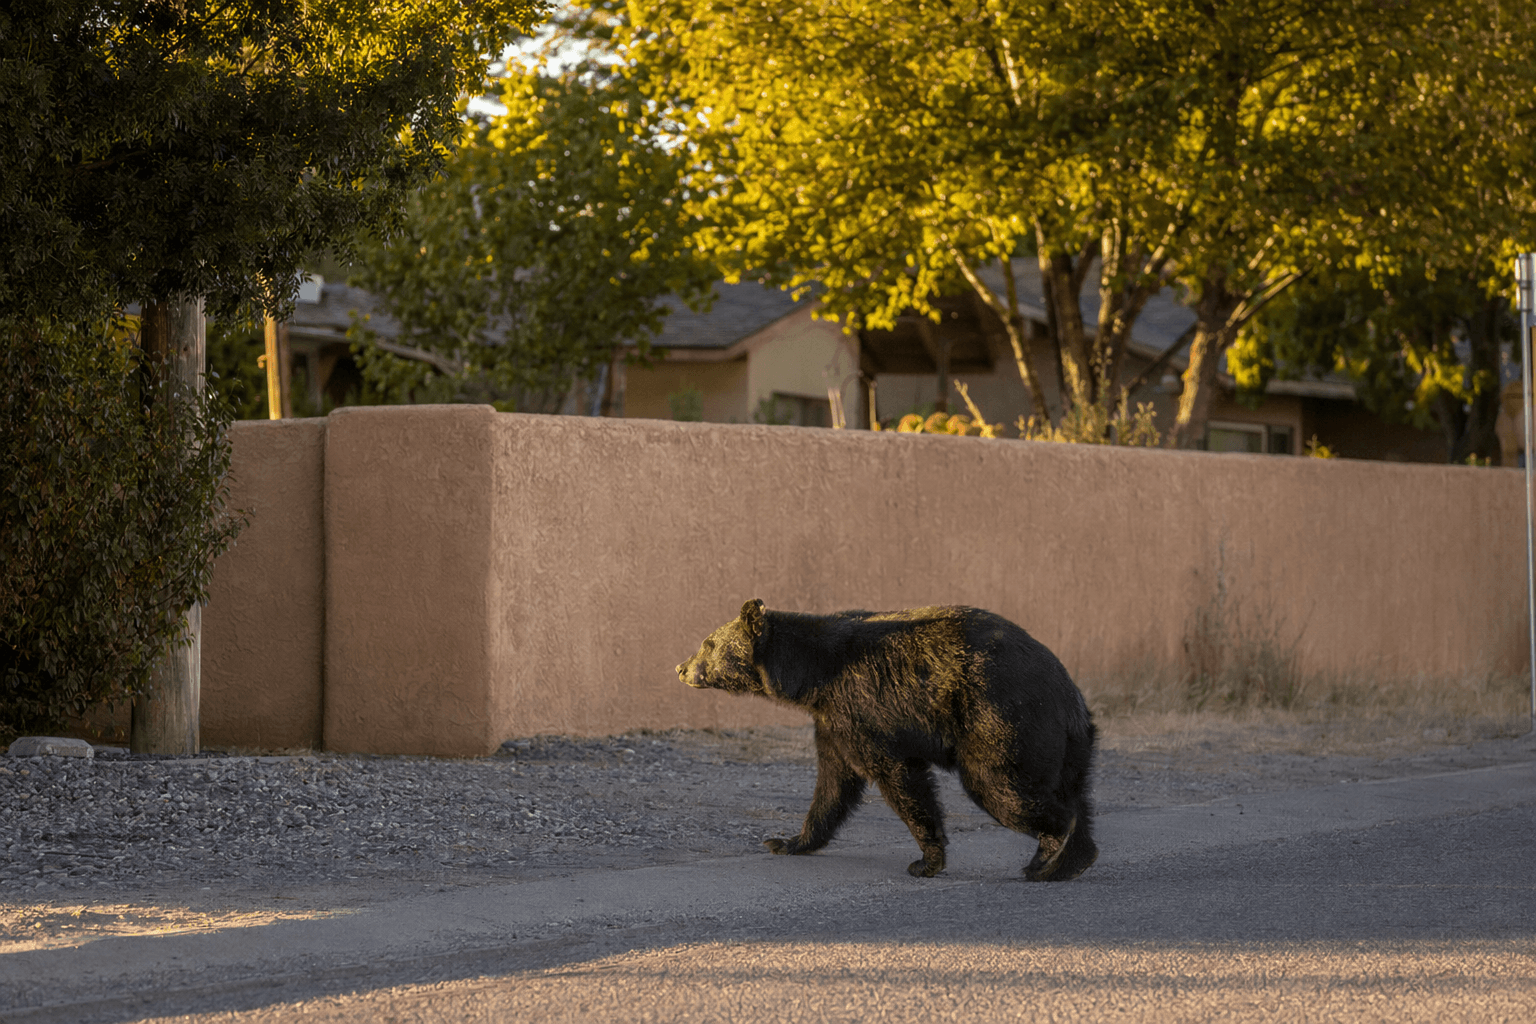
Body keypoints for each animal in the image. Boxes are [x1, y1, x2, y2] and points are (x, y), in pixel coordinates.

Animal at [676, 599, 1098, 881]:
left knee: (999, 787)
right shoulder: (832, 719)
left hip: (1001, 720)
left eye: (708, 643)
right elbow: (832, 785)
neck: (811, 677)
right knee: (1075, 793)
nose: (681, 667)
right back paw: (1075, 860)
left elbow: (897, 776)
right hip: (1070, 745)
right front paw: (788, 841)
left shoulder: (864, 707)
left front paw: (926, 860)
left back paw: (1046, 853)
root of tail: (1069, 694)